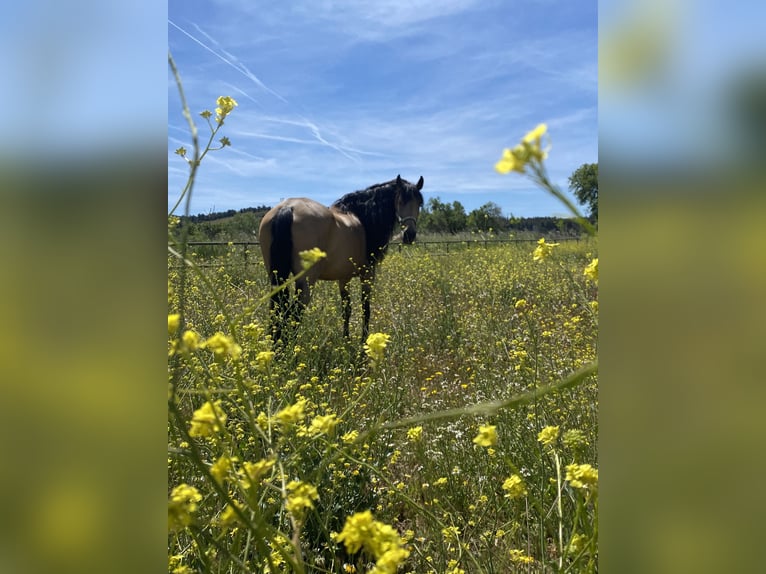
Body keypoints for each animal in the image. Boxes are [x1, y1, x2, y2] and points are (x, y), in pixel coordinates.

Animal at [260, 176, 426, 344]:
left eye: (419, 203)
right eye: (401, 201)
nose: (410, 235)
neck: (361, 218)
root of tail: (288, 207)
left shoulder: (343, 278)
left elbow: (347, 309)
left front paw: (346, 339)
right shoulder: (368, 275)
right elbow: (365, 308)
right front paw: (364, 340)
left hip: (277, 278)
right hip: (306, 281)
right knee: (294, 314)